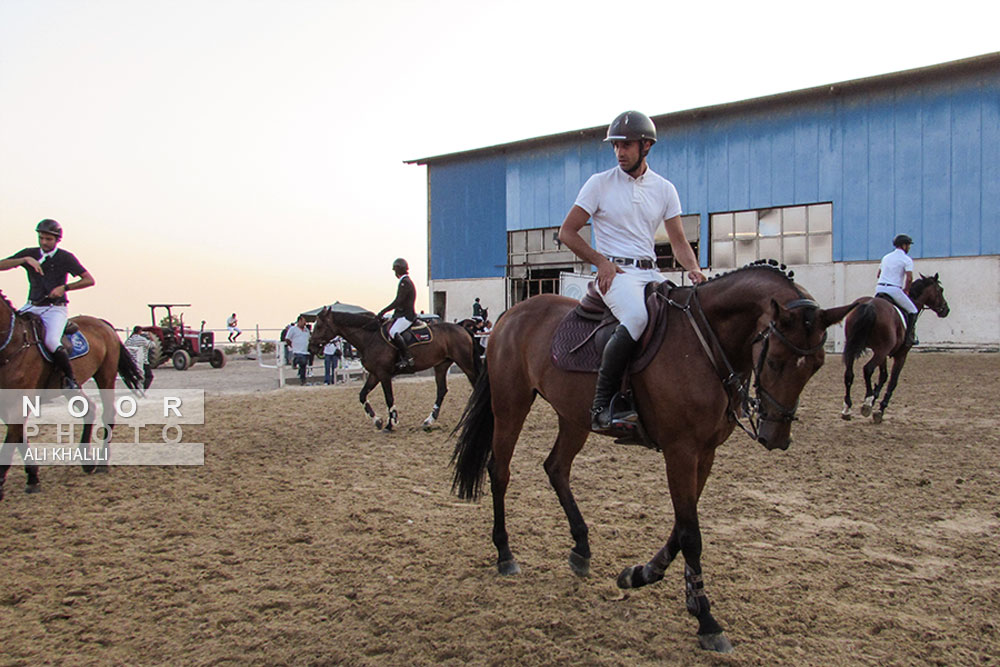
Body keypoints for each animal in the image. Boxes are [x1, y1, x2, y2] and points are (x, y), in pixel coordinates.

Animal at [0, 290, 146, 498]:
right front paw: (33, 477)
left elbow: (10, 442)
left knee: (108, 414)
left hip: (106, 375)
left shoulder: (21, 402)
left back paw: (102, 463)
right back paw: (87, 461)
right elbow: (18, 437)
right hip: (70, 386)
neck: (14, 344)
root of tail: (101, 323)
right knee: (89, 410)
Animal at [306, 310, 482, 434]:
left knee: (475, 385)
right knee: (441, 390)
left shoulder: (384, 374)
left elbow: (389, 398)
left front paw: (391, 424)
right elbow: (362, 395)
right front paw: (377, 421)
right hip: (441, 366)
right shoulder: (374, 374)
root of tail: (462, 328)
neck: (370, 338)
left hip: (465, 363)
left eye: (319, 326)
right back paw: (428, 421)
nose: (311, 347)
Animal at [450, 264, 856, 656]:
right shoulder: (681, 450)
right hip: (511, 403)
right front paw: (706, 620)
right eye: (773, 361)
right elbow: (690, 533)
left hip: (573, 416)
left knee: (556, 468)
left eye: (817, 365)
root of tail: (512, 314)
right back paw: (505, 553)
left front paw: (640, 575)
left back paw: (581, 549)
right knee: (500, 472)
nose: (775, 438)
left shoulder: (705, 453)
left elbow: (681, 526)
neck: (706, 341)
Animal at [840, 272, 948, 422]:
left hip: (856, 347)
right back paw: (867, 402)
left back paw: (847, 408)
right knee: (867, 369)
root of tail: (869, 305)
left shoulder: (882, 353)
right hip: (881, 350)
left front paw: (874, 398)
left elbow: (883, 376)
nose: (946, 310)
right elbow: (892, 381)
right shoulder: (900, 354)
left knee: (849, 374)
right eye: (940, 290)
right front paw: (879, 408)